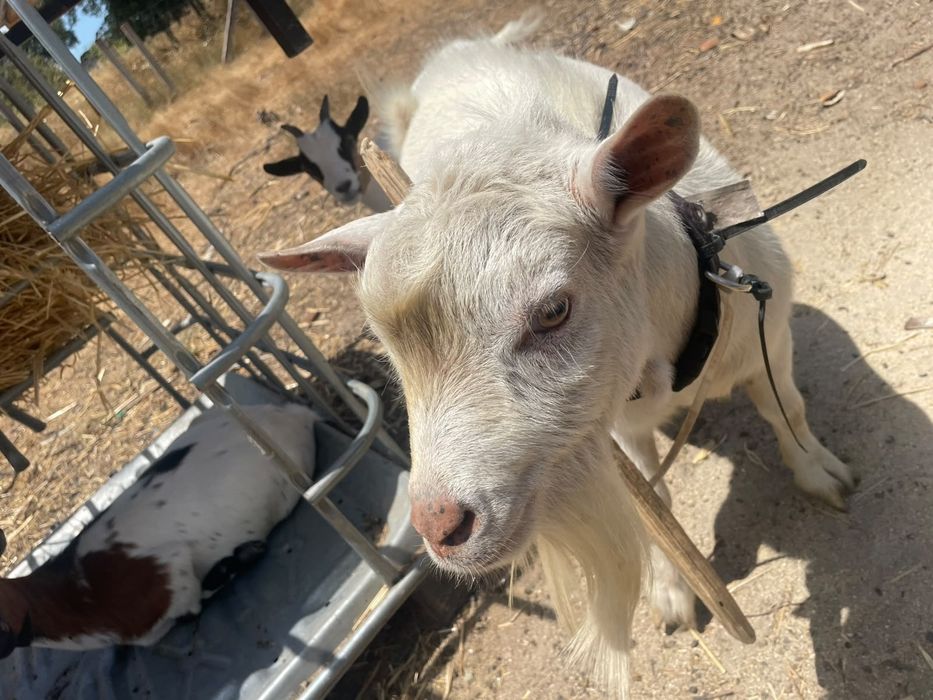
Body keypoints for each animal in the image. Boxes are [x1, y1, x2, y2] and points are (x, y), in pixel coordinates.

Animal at [259, 13, 855, 696]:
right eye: (386, 353)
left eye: (552, 311)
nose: (440, 527)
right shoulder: (616, 422)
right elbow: (656, 500)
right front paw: (673, 592)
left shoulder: (770, 336)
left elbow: (787, 412)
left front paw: (822, 475)